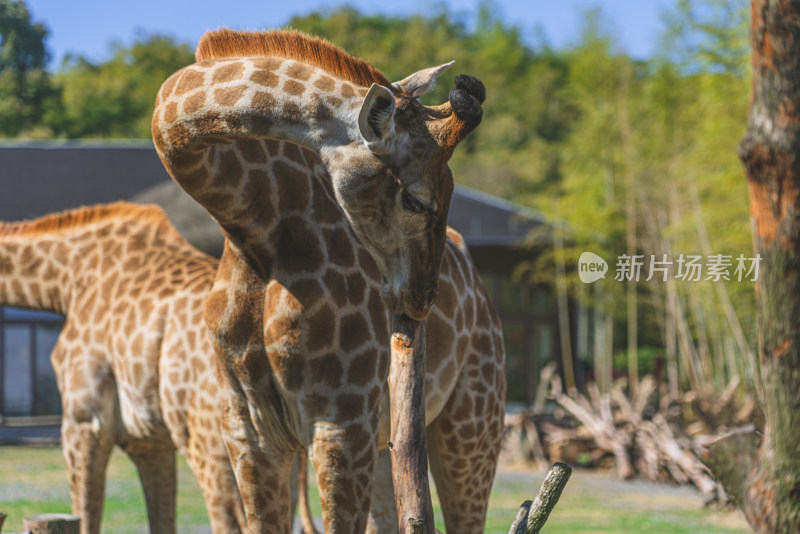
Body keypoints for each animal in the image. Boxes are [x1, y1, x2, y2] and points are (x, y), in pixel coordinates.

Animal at [151, 30, 496, 534]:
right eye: (415, 200)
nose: (422, 298)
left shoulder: (341, 423)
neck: (254, 228)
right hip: (391, 445)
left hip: (471, 426)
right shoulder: (248, 430)